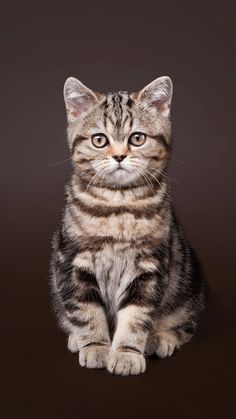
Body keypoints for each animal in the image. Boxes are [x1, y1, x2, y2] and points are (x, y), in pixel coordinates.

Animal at [49, 76, 206, 378]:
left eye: (137, 138)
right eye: (99, 140)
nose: (120, 156)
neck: (118, 204)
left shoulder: (150, 268)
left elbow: (136, 316)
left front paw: (126, 353)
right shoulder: (72, 262)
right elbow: (86, 311)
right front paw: (95, 346)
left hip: (188, 289)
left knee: (186, 324)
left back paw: (160, 338)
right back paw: (76, 338)